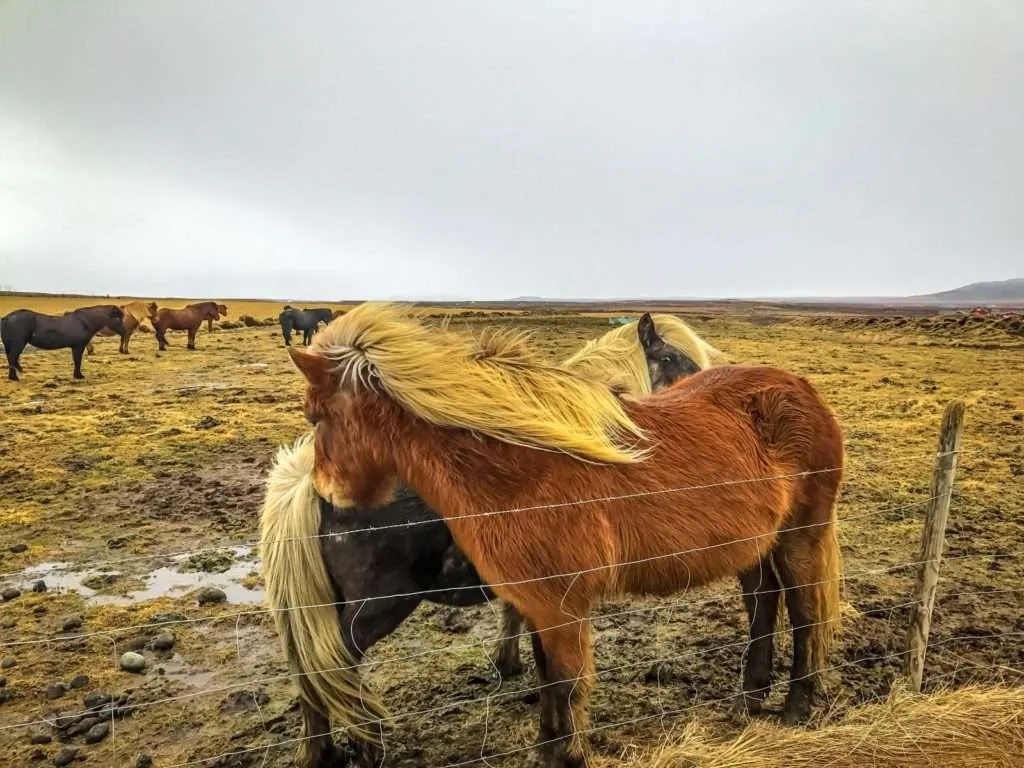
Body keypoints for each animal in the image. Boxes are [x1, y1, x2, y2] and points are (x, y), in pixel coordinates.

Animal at [289, 302, 844, 768]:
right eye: (668, 357)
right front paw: (548, 749)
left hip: (801, 535)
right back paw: (749, 698)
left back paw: (796, 708)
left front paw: (570, 756)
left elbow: (569, 683)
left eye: (317, 416)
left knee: (804, 613)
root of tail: (802, 389)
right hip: (756, 546)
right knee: (764, 604)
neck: (518, 468)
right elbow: (549, 679)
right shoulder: (538, 603)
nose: (329, 494)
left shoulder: (564, 604)